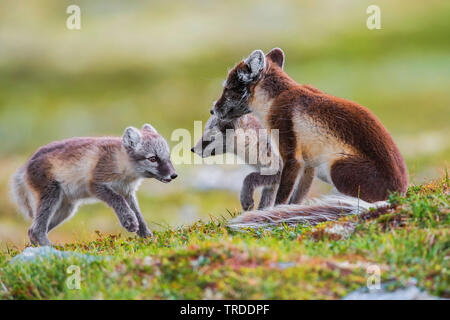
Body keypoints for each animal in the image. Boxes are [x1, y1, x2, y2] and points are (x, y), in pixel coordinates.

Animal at [10, 123, 178, 245]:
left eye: (168, 157)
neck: (122, 164)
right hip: (51, 197)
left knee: (32, 231)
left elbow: (139, 214)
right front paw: (129, 221)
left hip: (65, 210)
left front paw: (146, 237)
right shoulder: (96, 184)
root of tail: (25, 165)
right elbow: (118, 200)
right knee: (35, 230)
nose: (174, 175)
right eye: (153, 158)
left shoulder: (128, 192)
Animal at [211, 47, 408, 228]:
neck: (276, 98)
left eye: (227, 89)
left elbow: (281, 196)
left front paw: (273, 212)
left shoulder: (292, 157)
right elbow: (296, 198)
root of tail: (397, 196)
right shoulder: (308, 164)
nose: (212, 110)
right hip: (322, 169)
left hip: (337, 168)